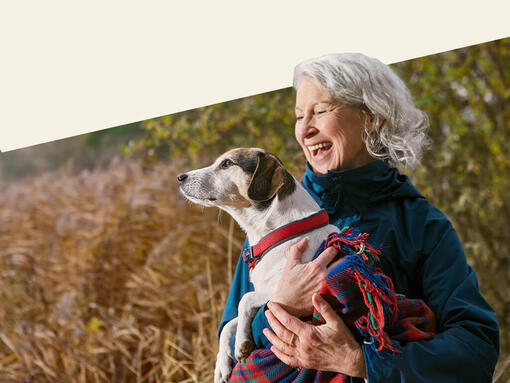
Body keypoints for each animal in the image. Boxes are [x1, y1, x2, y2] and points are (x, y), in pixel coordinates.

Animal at [177, 148, 340, 382]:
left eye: (227, 163)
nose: (180, 177)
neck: (278, 233)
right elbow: (229, 324)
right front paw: (221, 364)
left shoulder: (285, 290)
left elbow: (245, 299)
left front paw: (242, 343)